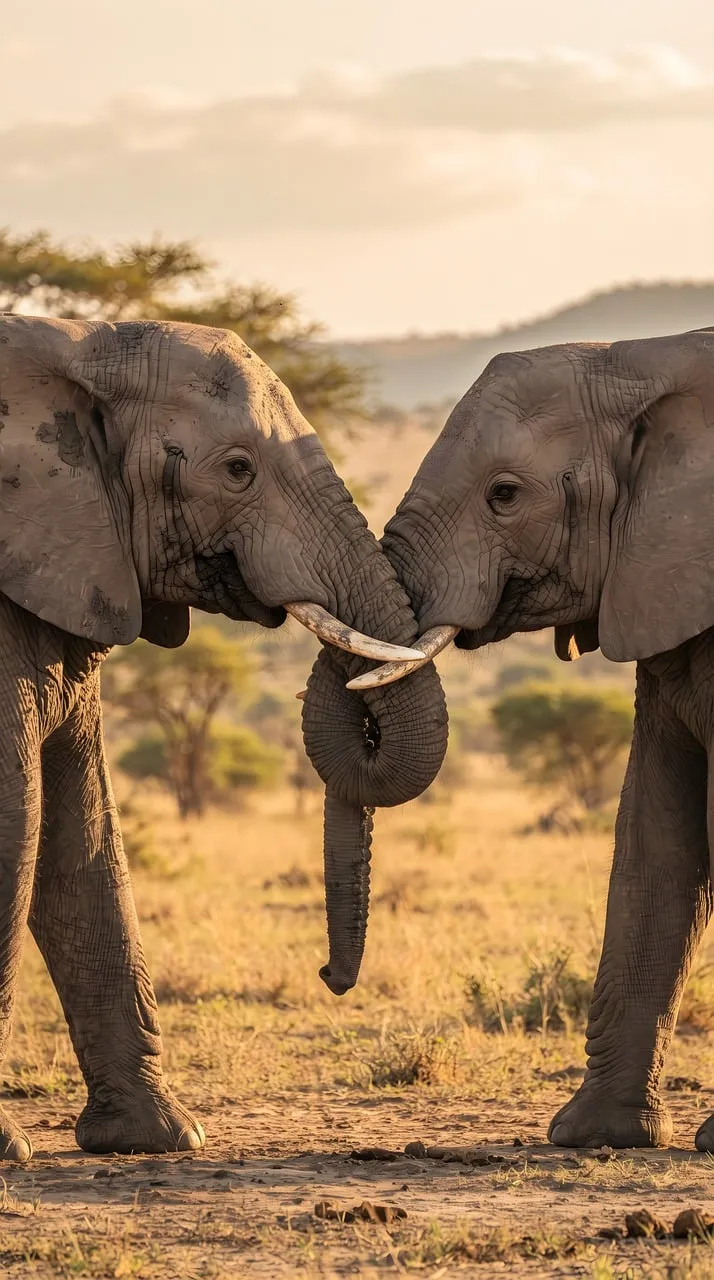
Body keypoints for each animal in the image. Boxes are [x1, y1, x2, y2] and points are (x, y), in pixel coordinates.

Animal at [0, 314, 448, 1163]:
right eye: (237, 469)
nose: (329, 977)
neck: (74, 344)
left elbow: (83, 833)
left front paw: (159, 1138)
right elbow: (19, 823)